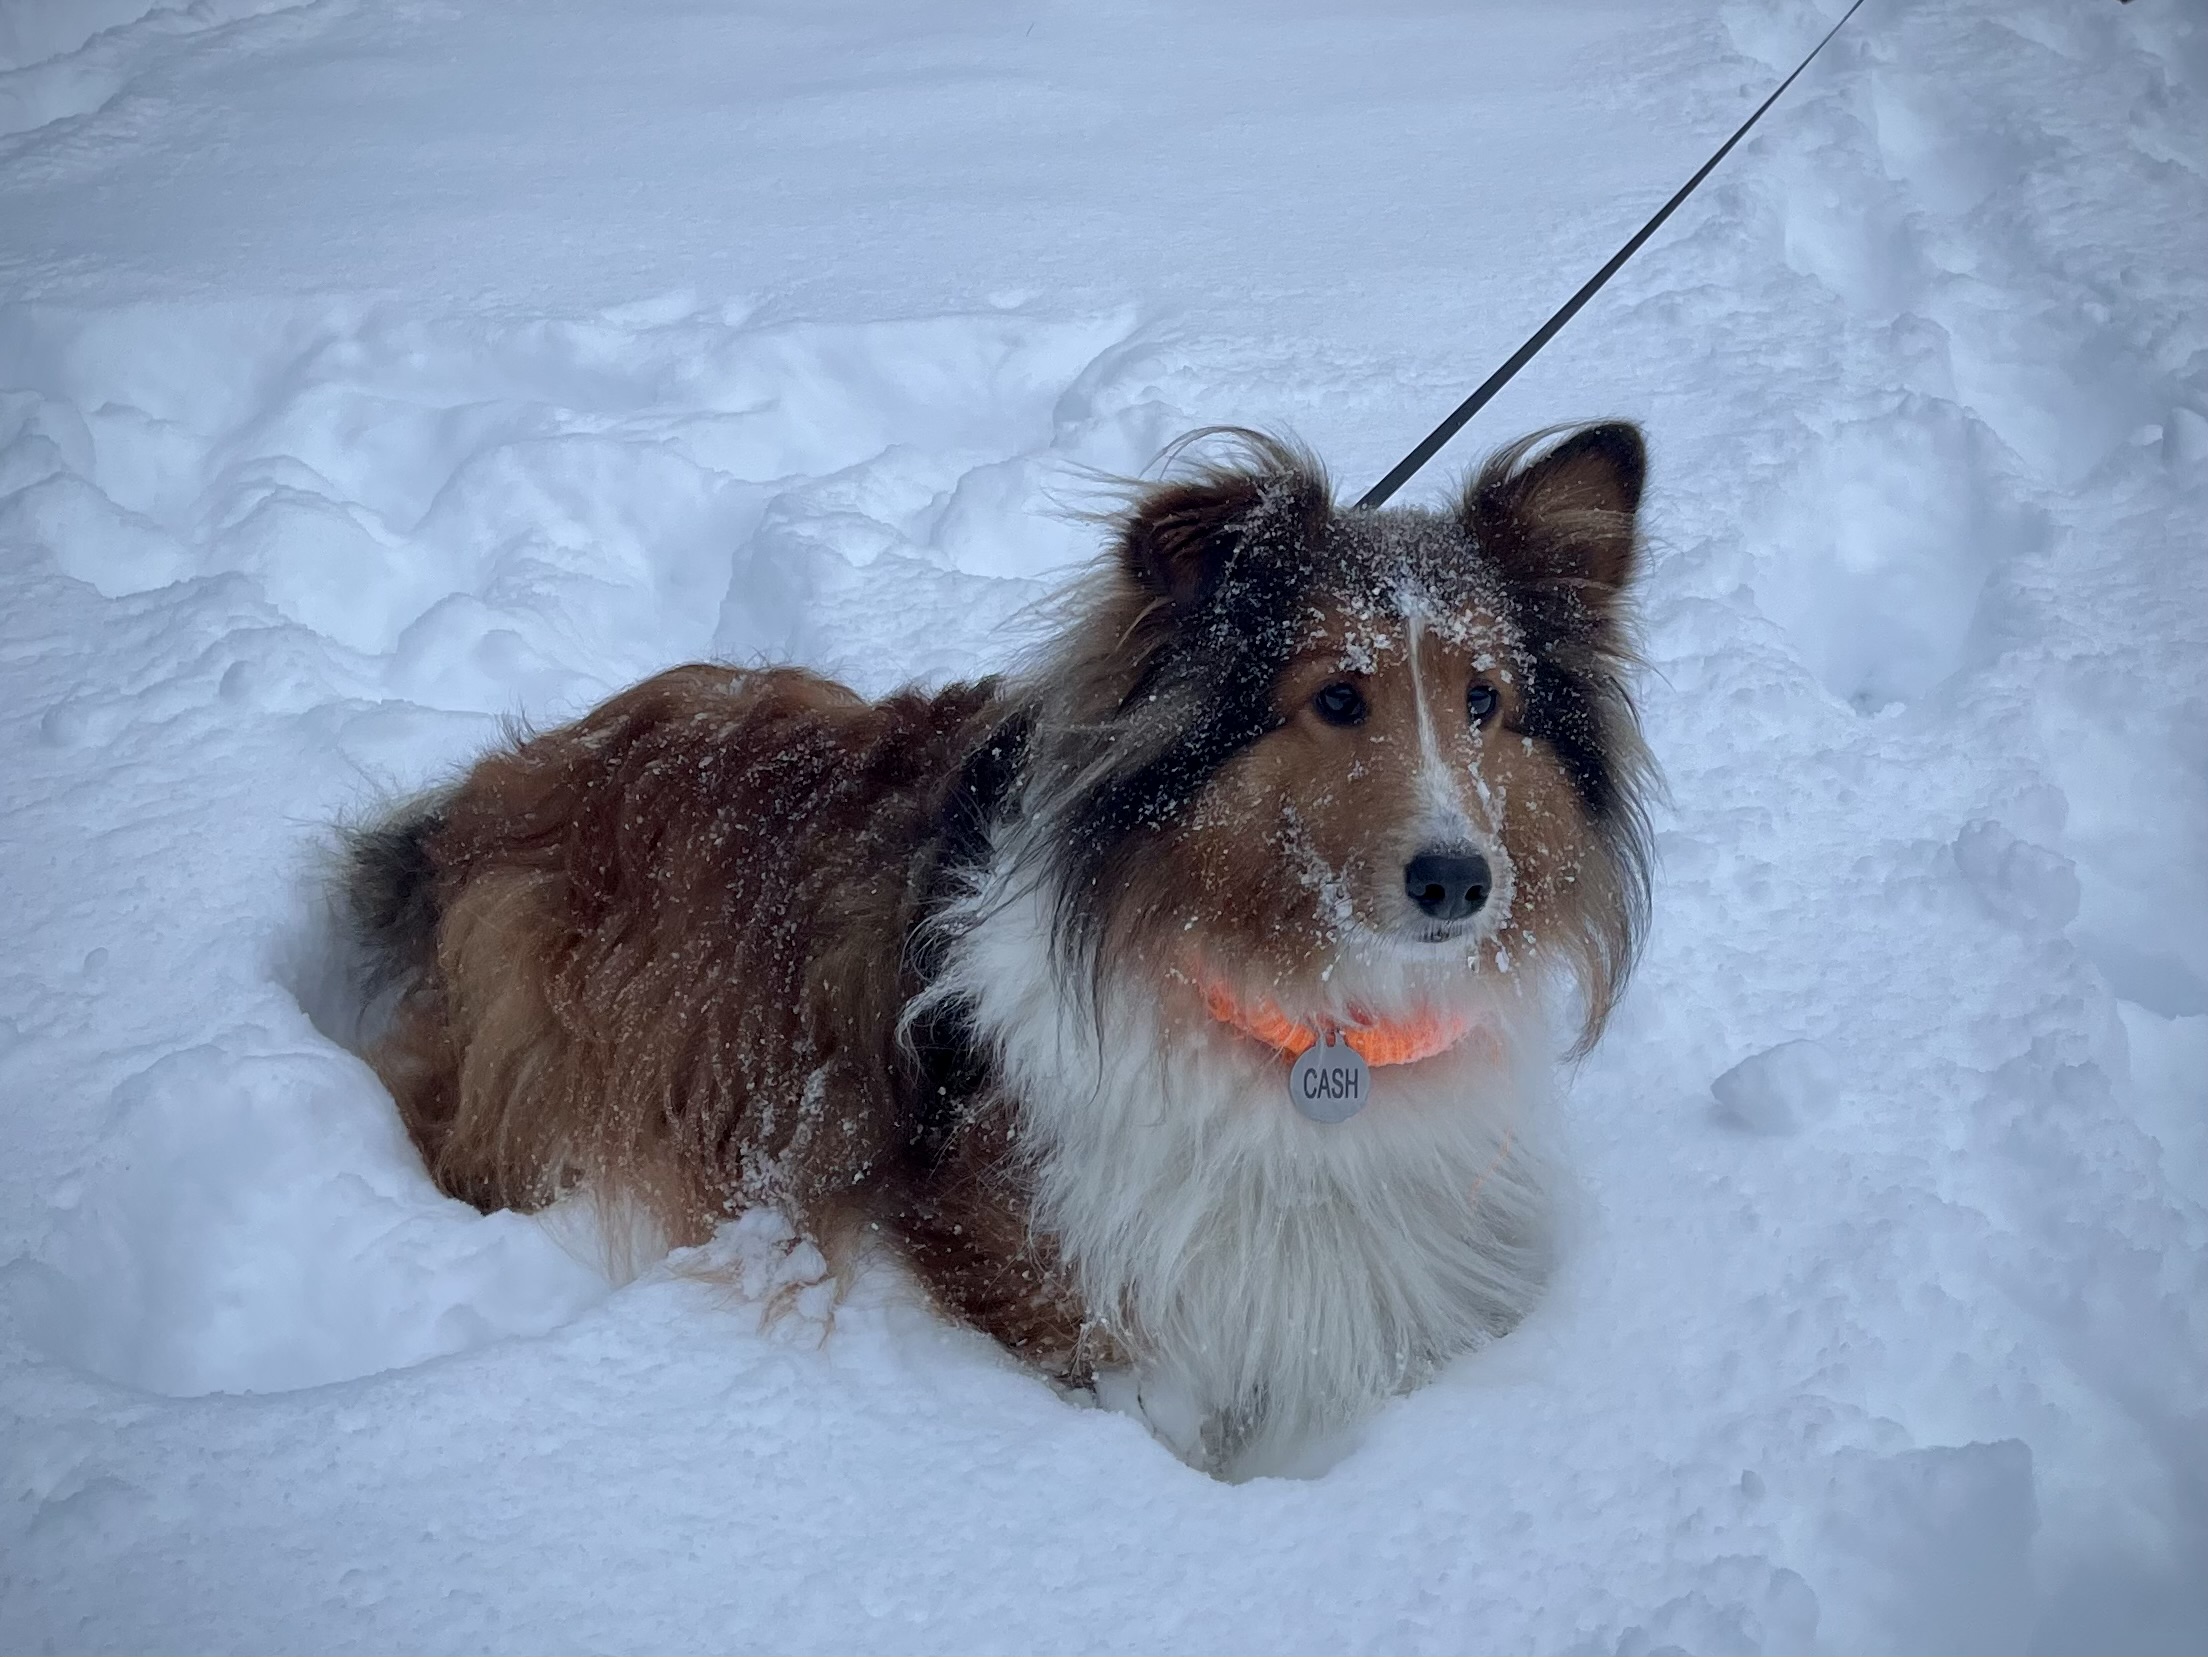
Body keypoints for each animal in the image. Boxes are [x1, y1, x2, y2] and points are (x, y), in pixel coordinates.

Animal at [342, 423, 1654, 1473]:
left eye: (1485, 701)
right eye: (1337, 698)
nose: (1459, 883)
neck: (1297, 1002)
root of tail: (499, 787)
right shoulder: (1024, 1254)